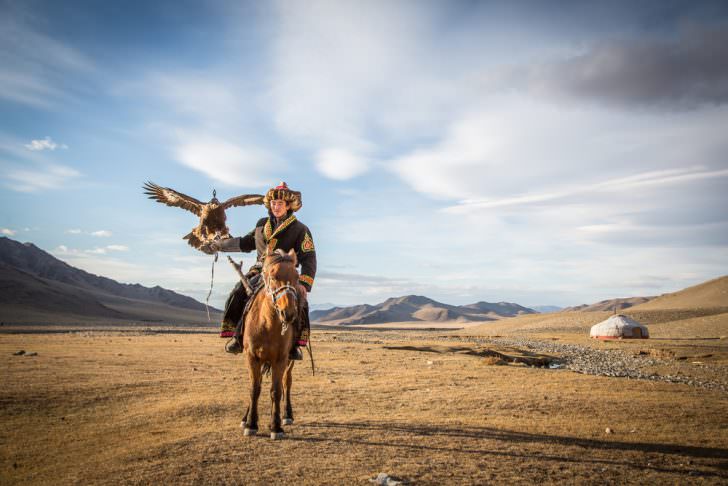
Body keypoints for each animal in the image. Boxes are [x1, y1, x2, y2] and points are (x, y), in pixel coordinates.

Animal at [240, 249, 300, 438]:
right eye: (273, 276)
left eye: (297, 277)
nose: (289, 313)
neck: (268, 324)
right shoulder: (251, 356)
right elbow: (254, 388)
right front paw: (251, 423)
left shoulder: (281, 359)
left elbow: (276, 390)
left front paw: (276, 426)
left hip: (289, 361)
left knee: (286, 383)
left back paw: (286, 415)